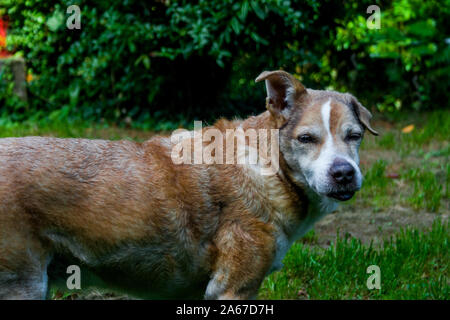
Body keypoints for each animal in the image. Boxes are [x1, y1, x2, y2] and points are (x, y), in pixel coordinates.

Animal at [0, 70, 378, 300]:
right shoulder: (233, 288)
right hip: (24, 283)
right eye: (306, 139)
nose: (344, 173)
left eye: (354, 136)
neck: (270, 169)